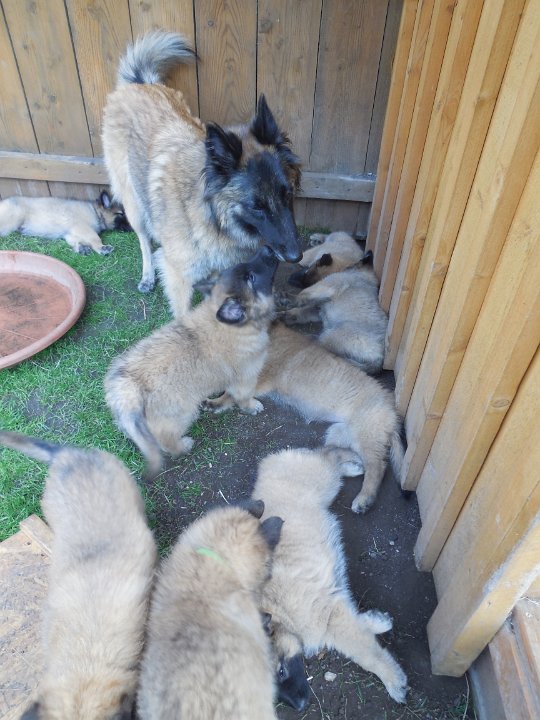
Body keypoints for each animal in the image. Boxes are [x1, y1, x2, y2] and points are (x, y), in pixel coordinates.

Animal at [0, 190, 130, 255]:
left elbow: (76, 241)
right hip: (11, 221)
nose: (133, 228)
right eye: (121, 214)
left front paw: (81, 248)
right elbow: (95, 238)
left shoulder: (71, 233)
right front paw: (102, 248)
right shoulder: (83, 228)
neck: (96, 212)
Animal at [102, 29, 302, 315]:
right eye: (257, 206)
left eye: (288, 194)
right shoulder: (178, 277)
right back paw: (147, 275)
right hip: (134, 206)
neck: (211, 217)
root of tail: (140, 84)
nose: (297, 256)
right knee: (143, 239)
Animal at [105, 246, 278, 476]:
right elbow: (242, 397)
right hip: (180, 414)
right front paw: (251, 406)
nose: (267, 248)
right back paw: (183, 446)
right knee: (165, 440)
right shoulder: (246, 378)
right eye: (251, 278)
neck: (230, 324)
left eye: (245, 269)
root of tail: (129, 389)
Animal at [252, 323, 404, 513]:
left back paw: (364, 500)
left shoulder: (262, 378)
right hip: (339, 432)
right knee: (332, 455)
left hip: (365, 437)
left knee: (377, 467)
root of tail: (393, 414)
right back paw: (353, 469)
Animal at [252, 446, 408, 707]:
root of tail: (270, 462)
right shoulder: (334, 613)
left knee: (328, 454)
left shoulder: (328, 617)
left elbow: (367, 654)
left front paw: (393, 680)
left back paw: (353, 464)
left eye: (281, 672)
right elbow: (360, 627)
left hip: (322, 480)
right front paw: (378, 621)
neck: (278, 611)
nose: (300, 707)